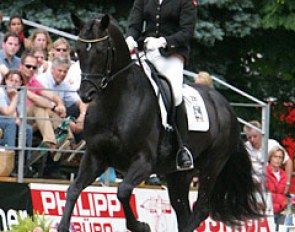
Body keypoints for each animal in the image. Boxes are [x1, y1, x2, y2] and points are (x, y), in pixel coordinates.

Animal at [57, 14, 264, 232]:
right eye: (78, 50)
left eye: (101, 50)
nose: (85, 94)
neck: (115, 102)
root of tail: (227, 108)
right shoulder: (96, 157)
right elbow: (73, 189)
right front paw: (63, 226)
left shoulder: (144, 161)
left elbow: (123, 191)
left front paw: (140, 226)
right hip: (179, 174)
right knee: (182, 209)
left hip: (211, 167)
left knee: (200, 210)